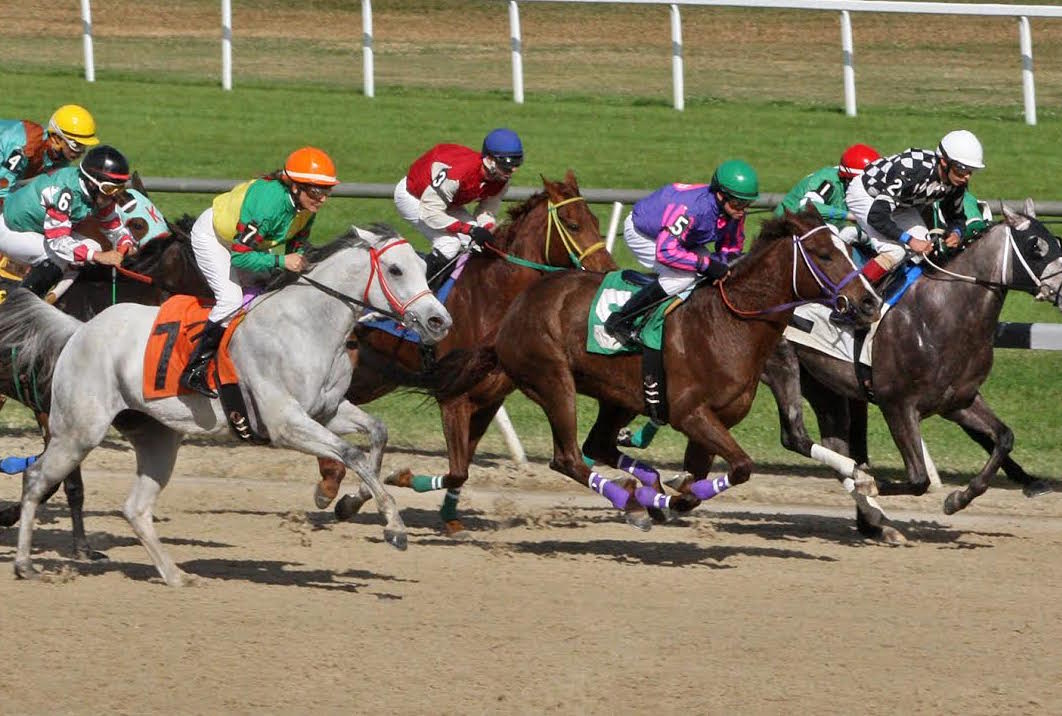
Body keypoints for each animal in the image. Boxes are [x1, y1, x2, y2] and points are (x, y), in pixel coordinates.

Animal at [316, 169, 615, 533]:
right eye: (572, 224)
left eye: (595, 220)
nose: (608, 268)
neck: (492, 295)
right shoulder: (453, 397)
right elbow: (458, 468)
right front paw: (397, 481)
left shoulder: (489, 399)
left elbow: (463, 467)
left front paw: (446, 514)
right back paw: (329, 479)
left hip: (372, 377)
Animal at [480, 203, 879, 526]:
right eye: (823, 254)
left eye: (848, 249)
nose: (870, 302)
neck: (728, 323)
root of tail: (519, 303)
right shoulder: (691, 414)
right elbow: (739, 468)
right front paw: (667, 500)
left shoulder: (715, 421)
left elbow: (703, 479)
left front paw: (668, 495)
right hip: (553, 380)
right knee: (568, 458)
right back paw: (632, 501)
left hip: (618, 397)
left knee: (598, 445)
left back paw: (644, 490)